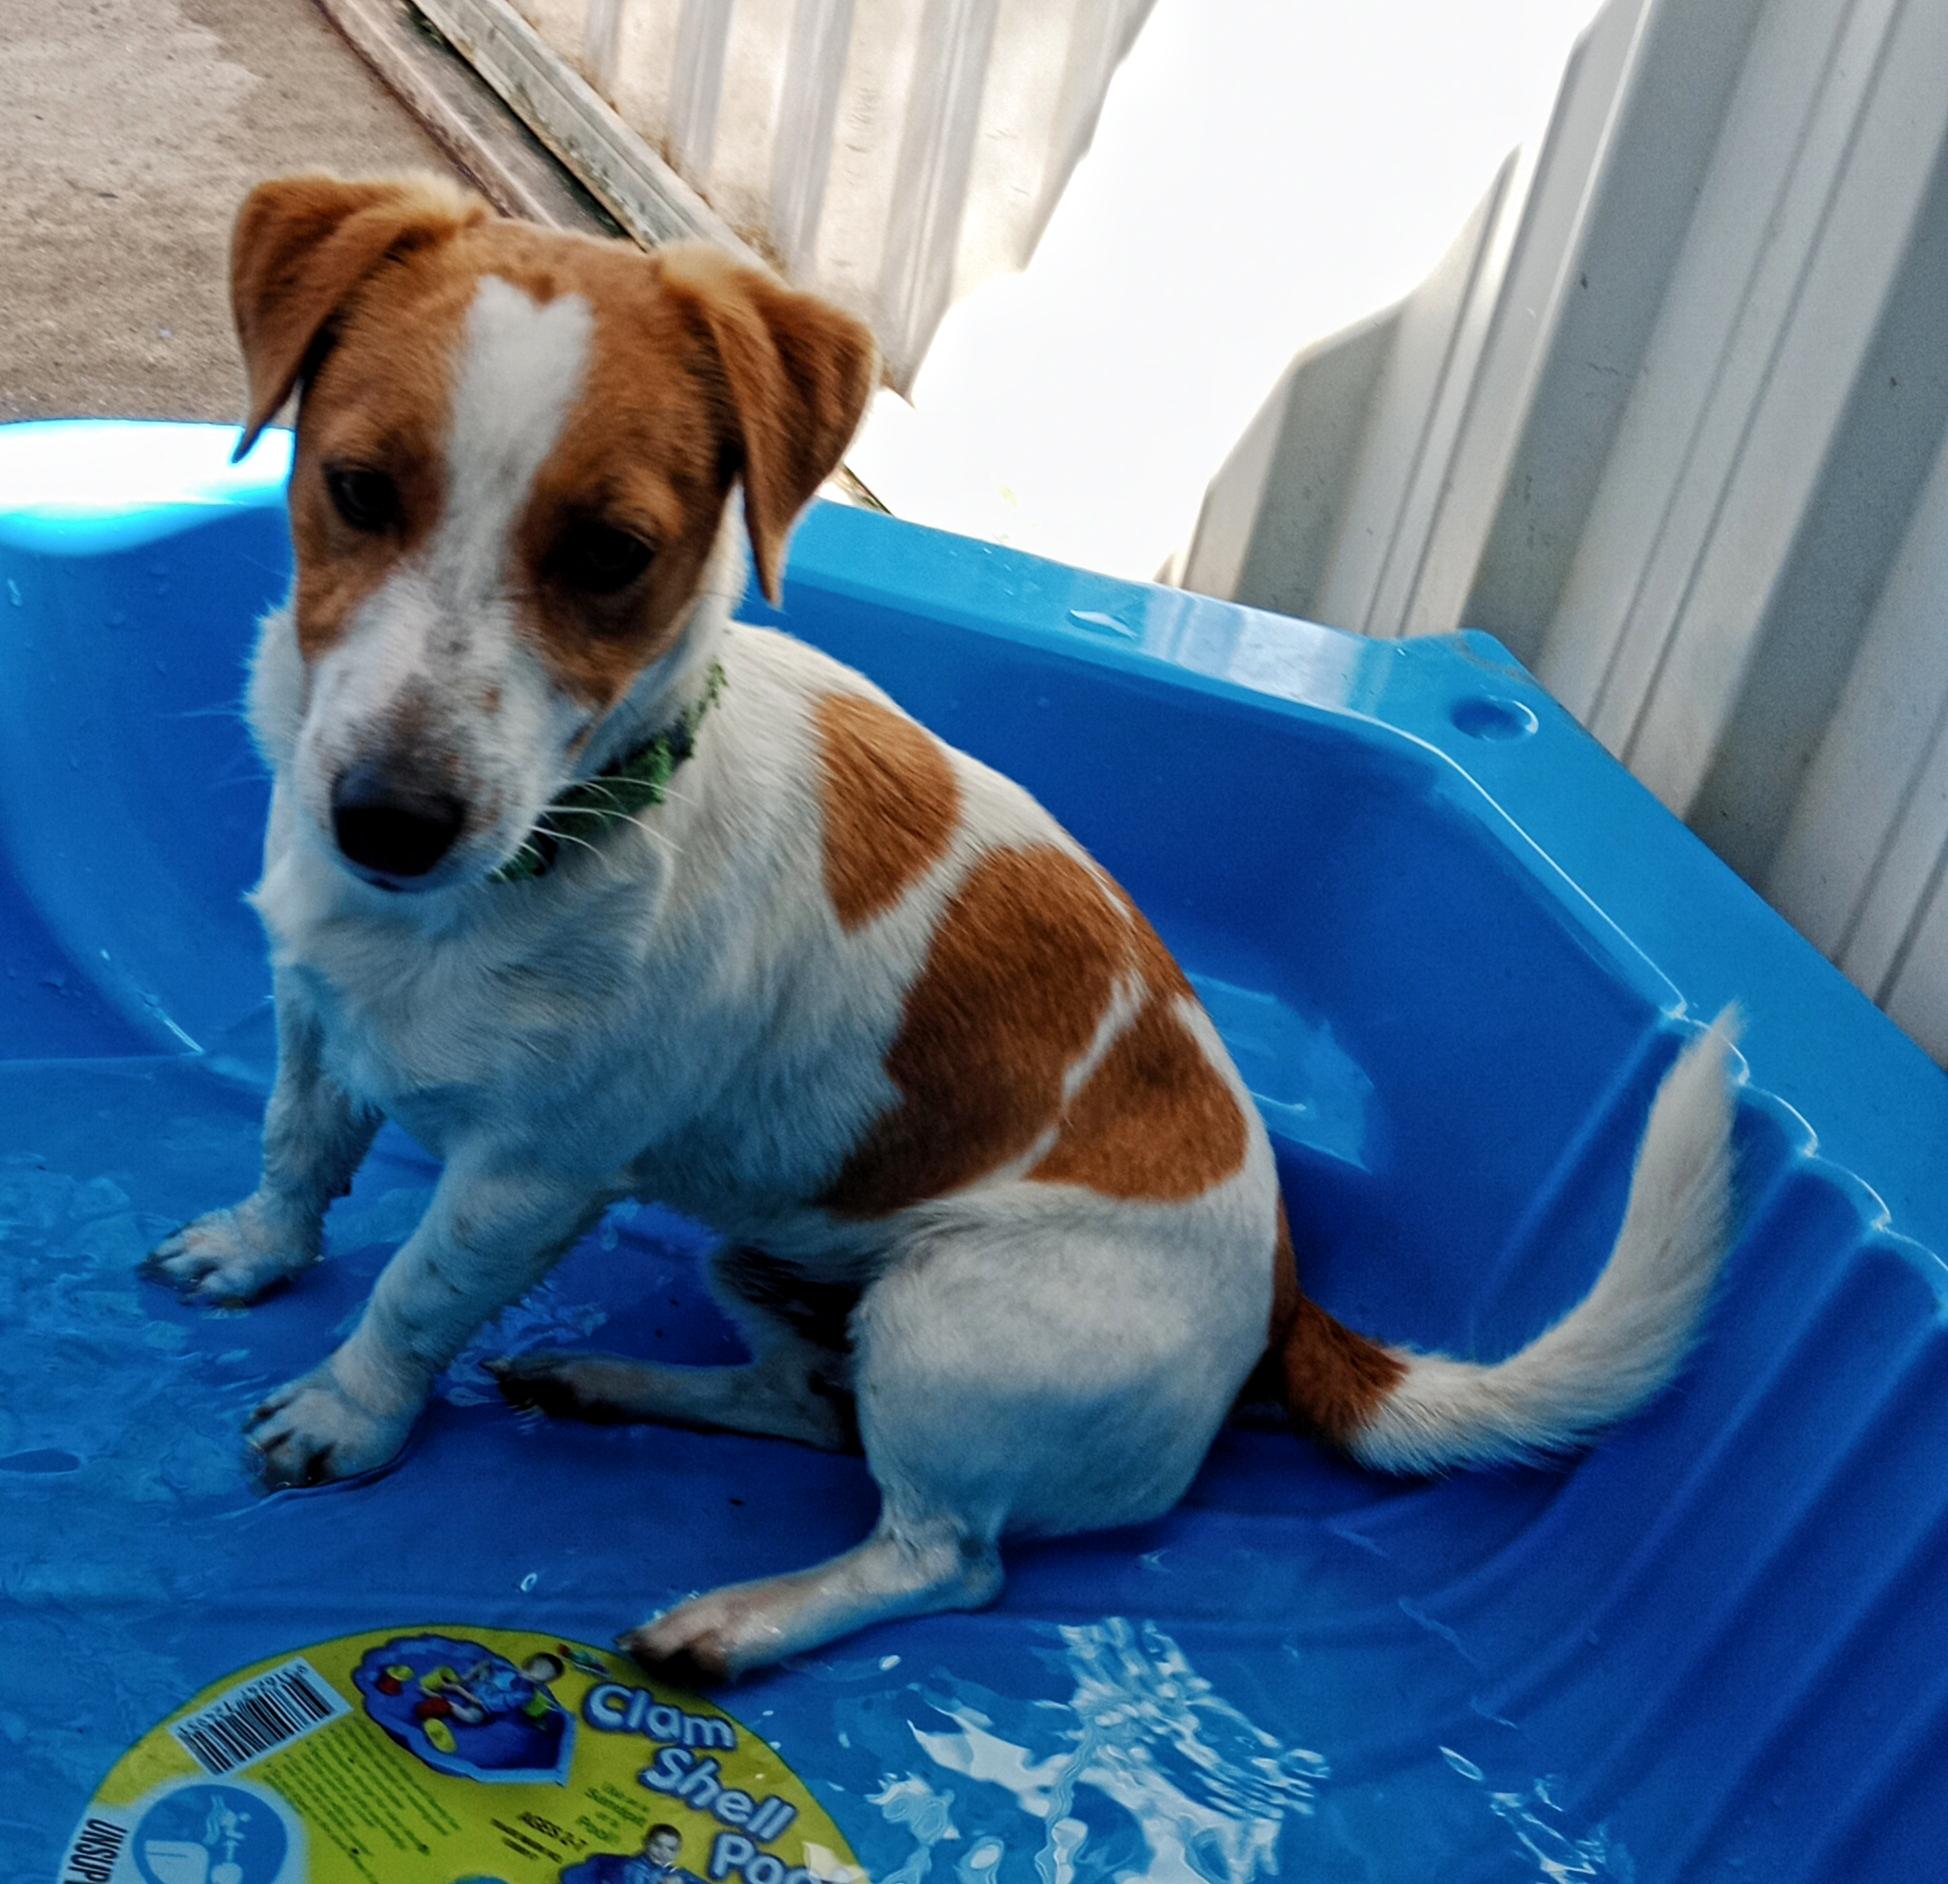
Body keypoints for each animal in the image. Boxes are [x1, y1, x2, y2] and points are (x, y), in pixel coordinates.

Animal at [144, 173, 1738, 1680]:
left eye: (610, 553)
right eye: (356, 486)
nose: (386, 821)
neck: (549, 842)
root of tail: (1291, 1298)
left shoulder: (530, 1180)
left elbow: (412, 1292)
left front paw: (348, 1414)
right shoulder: (313, 1020)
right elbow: (296, 1152)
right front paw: (256, 1251)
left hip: (945, 1327)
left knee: (942, 1558)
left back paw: (735, 1621)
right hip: (766, 1258)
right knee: (812, 1408)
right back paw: (610, 1387)